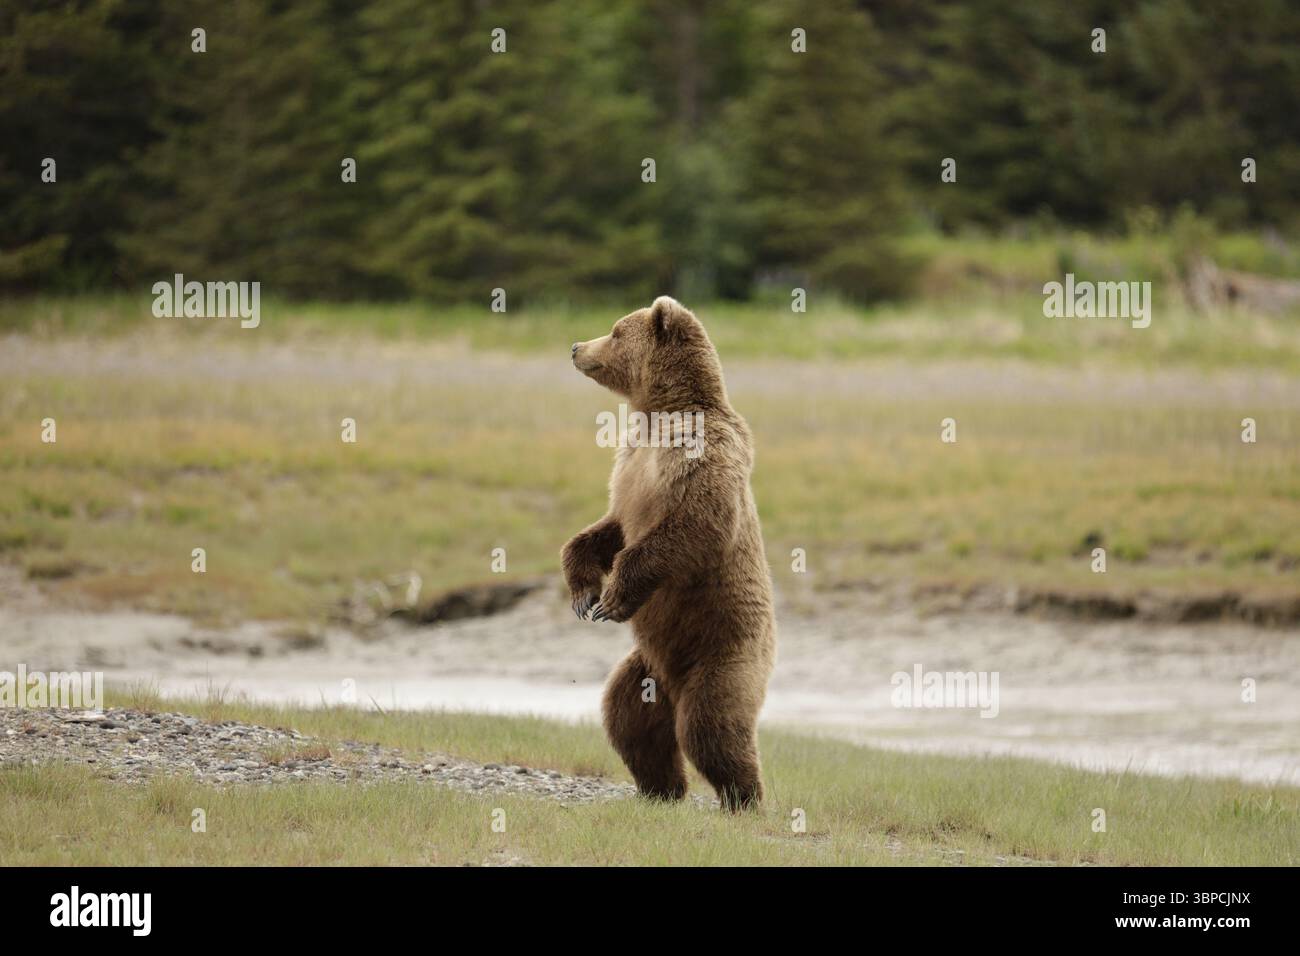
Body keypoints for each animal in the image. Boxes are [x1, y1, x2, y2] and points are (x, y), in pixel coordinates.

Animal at [562, 296, 776, 810]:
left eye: (615, 330)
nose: (576, 345)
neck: (660, 414)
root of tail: (674, 685)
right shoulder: (629, 469)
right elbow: (608, 528)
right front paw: (583, 594)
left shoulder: (700, 456)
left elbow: (693, 527)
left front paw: (612, 599)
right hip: (647, 667)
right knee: (627, 719)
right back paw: (660, 789)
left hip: (725, 651)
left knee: (711, 726)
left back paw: (744, 798)